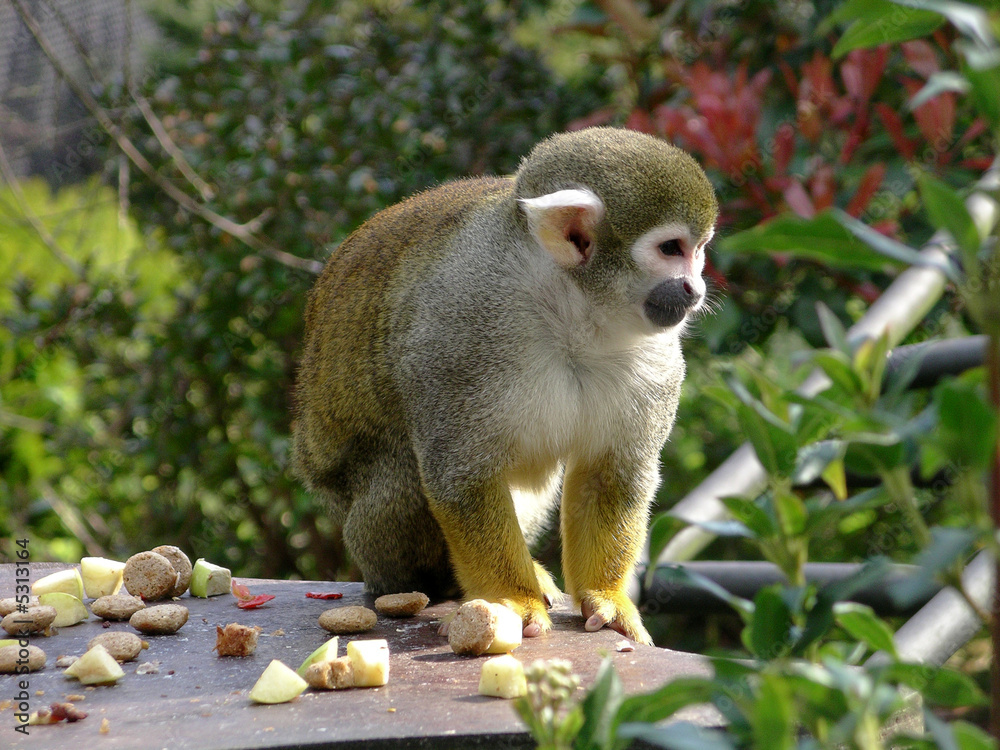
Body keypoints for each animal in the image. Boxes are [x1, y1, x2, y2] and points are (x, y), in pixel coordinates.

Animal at [292, 127, 717, 644]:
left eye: (699, 249)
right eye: (671, 249)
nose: (695, 289)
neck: (572, 314)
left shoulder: (655, 359)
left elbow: (611, 471)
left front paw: (607, 597)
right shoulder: (459, 325)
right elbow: (462, 477)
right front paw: (512, 599)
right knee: (407, 477)